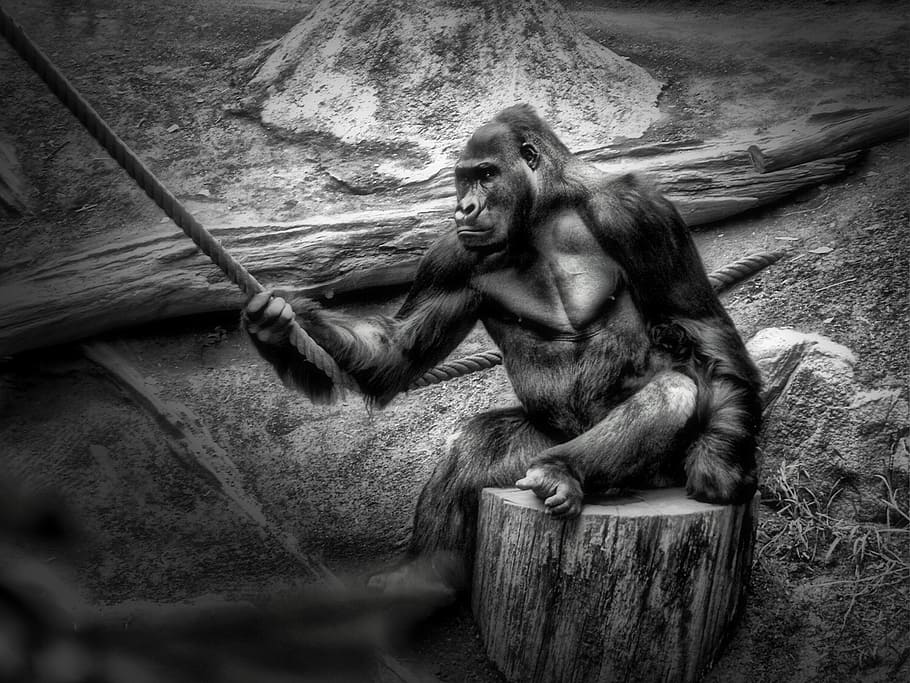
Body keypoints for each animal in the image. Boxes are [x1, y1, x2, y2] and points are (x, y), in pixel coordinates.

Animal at [244, 103, 762, 597]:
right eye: (464, 178)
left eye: (487, 174)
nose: (465, 206)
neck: (545, 212)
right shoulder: (450, 256)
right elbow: (398, 350)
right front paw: (276, 326)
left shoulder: (640, 212)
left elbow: (699, 325)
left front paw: (720, 459)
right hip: (531, 454)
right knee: (478, 448)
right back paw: (423, 575)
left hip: (649, 474)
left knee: (673, 391)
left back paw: (562, 471)